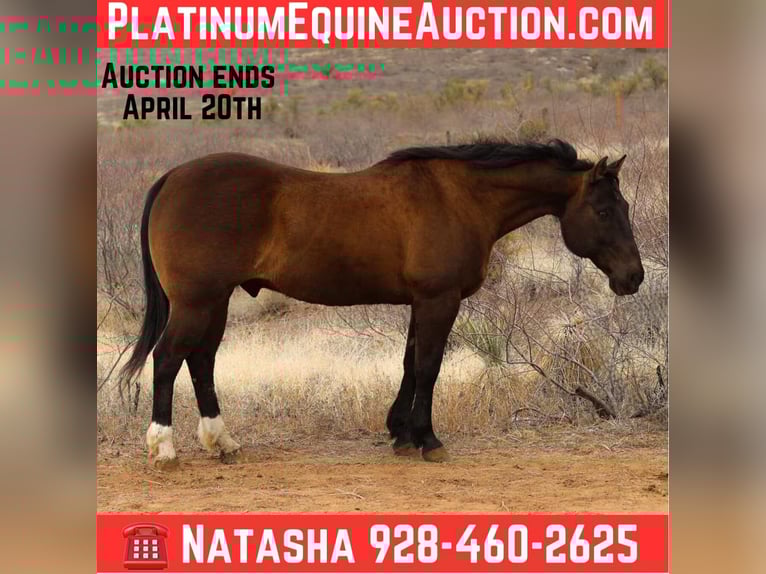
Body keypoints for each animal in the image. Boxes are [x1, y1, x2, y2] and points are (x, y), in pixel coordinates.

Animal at [119, 139, 644, 469]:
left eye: (624, 208)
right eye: (603, 210)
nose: (633, 277)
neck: (459, 198)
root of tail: (172, 177)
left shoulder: (422, 302)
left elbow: (411, 364)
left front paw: (401, 433)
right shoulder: (438, 300)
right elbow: (428, 367)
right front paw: (427, 439)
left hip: (216, 302)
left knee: (201, 362)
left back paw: (222, 442)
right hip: (196, 302)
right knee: (168, 359)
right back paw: (164, 448)